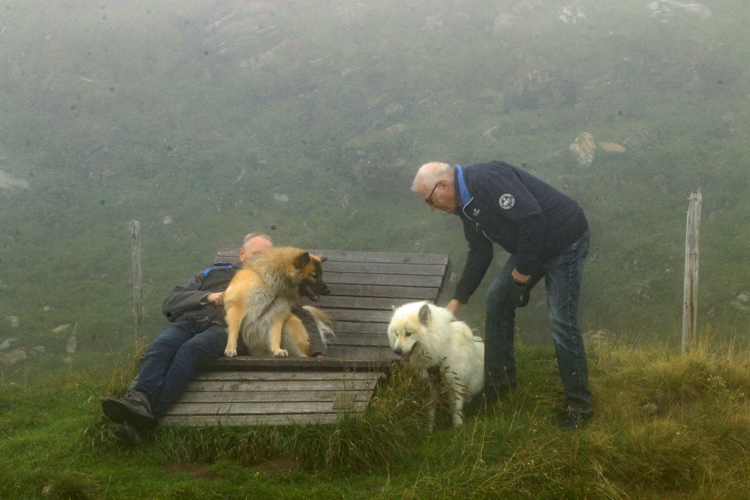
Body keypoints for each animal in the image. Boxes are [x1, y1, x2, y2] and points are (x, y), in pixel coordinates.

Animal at [388, 300, 488, 430]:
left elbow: (455, 408)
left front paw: (458, 426)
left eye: (408, 334)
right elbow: (430, 409)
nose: (397, 351)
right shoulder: (431, 384)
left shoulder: (454, 383)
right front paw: (429, 429)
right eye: (396, 333)